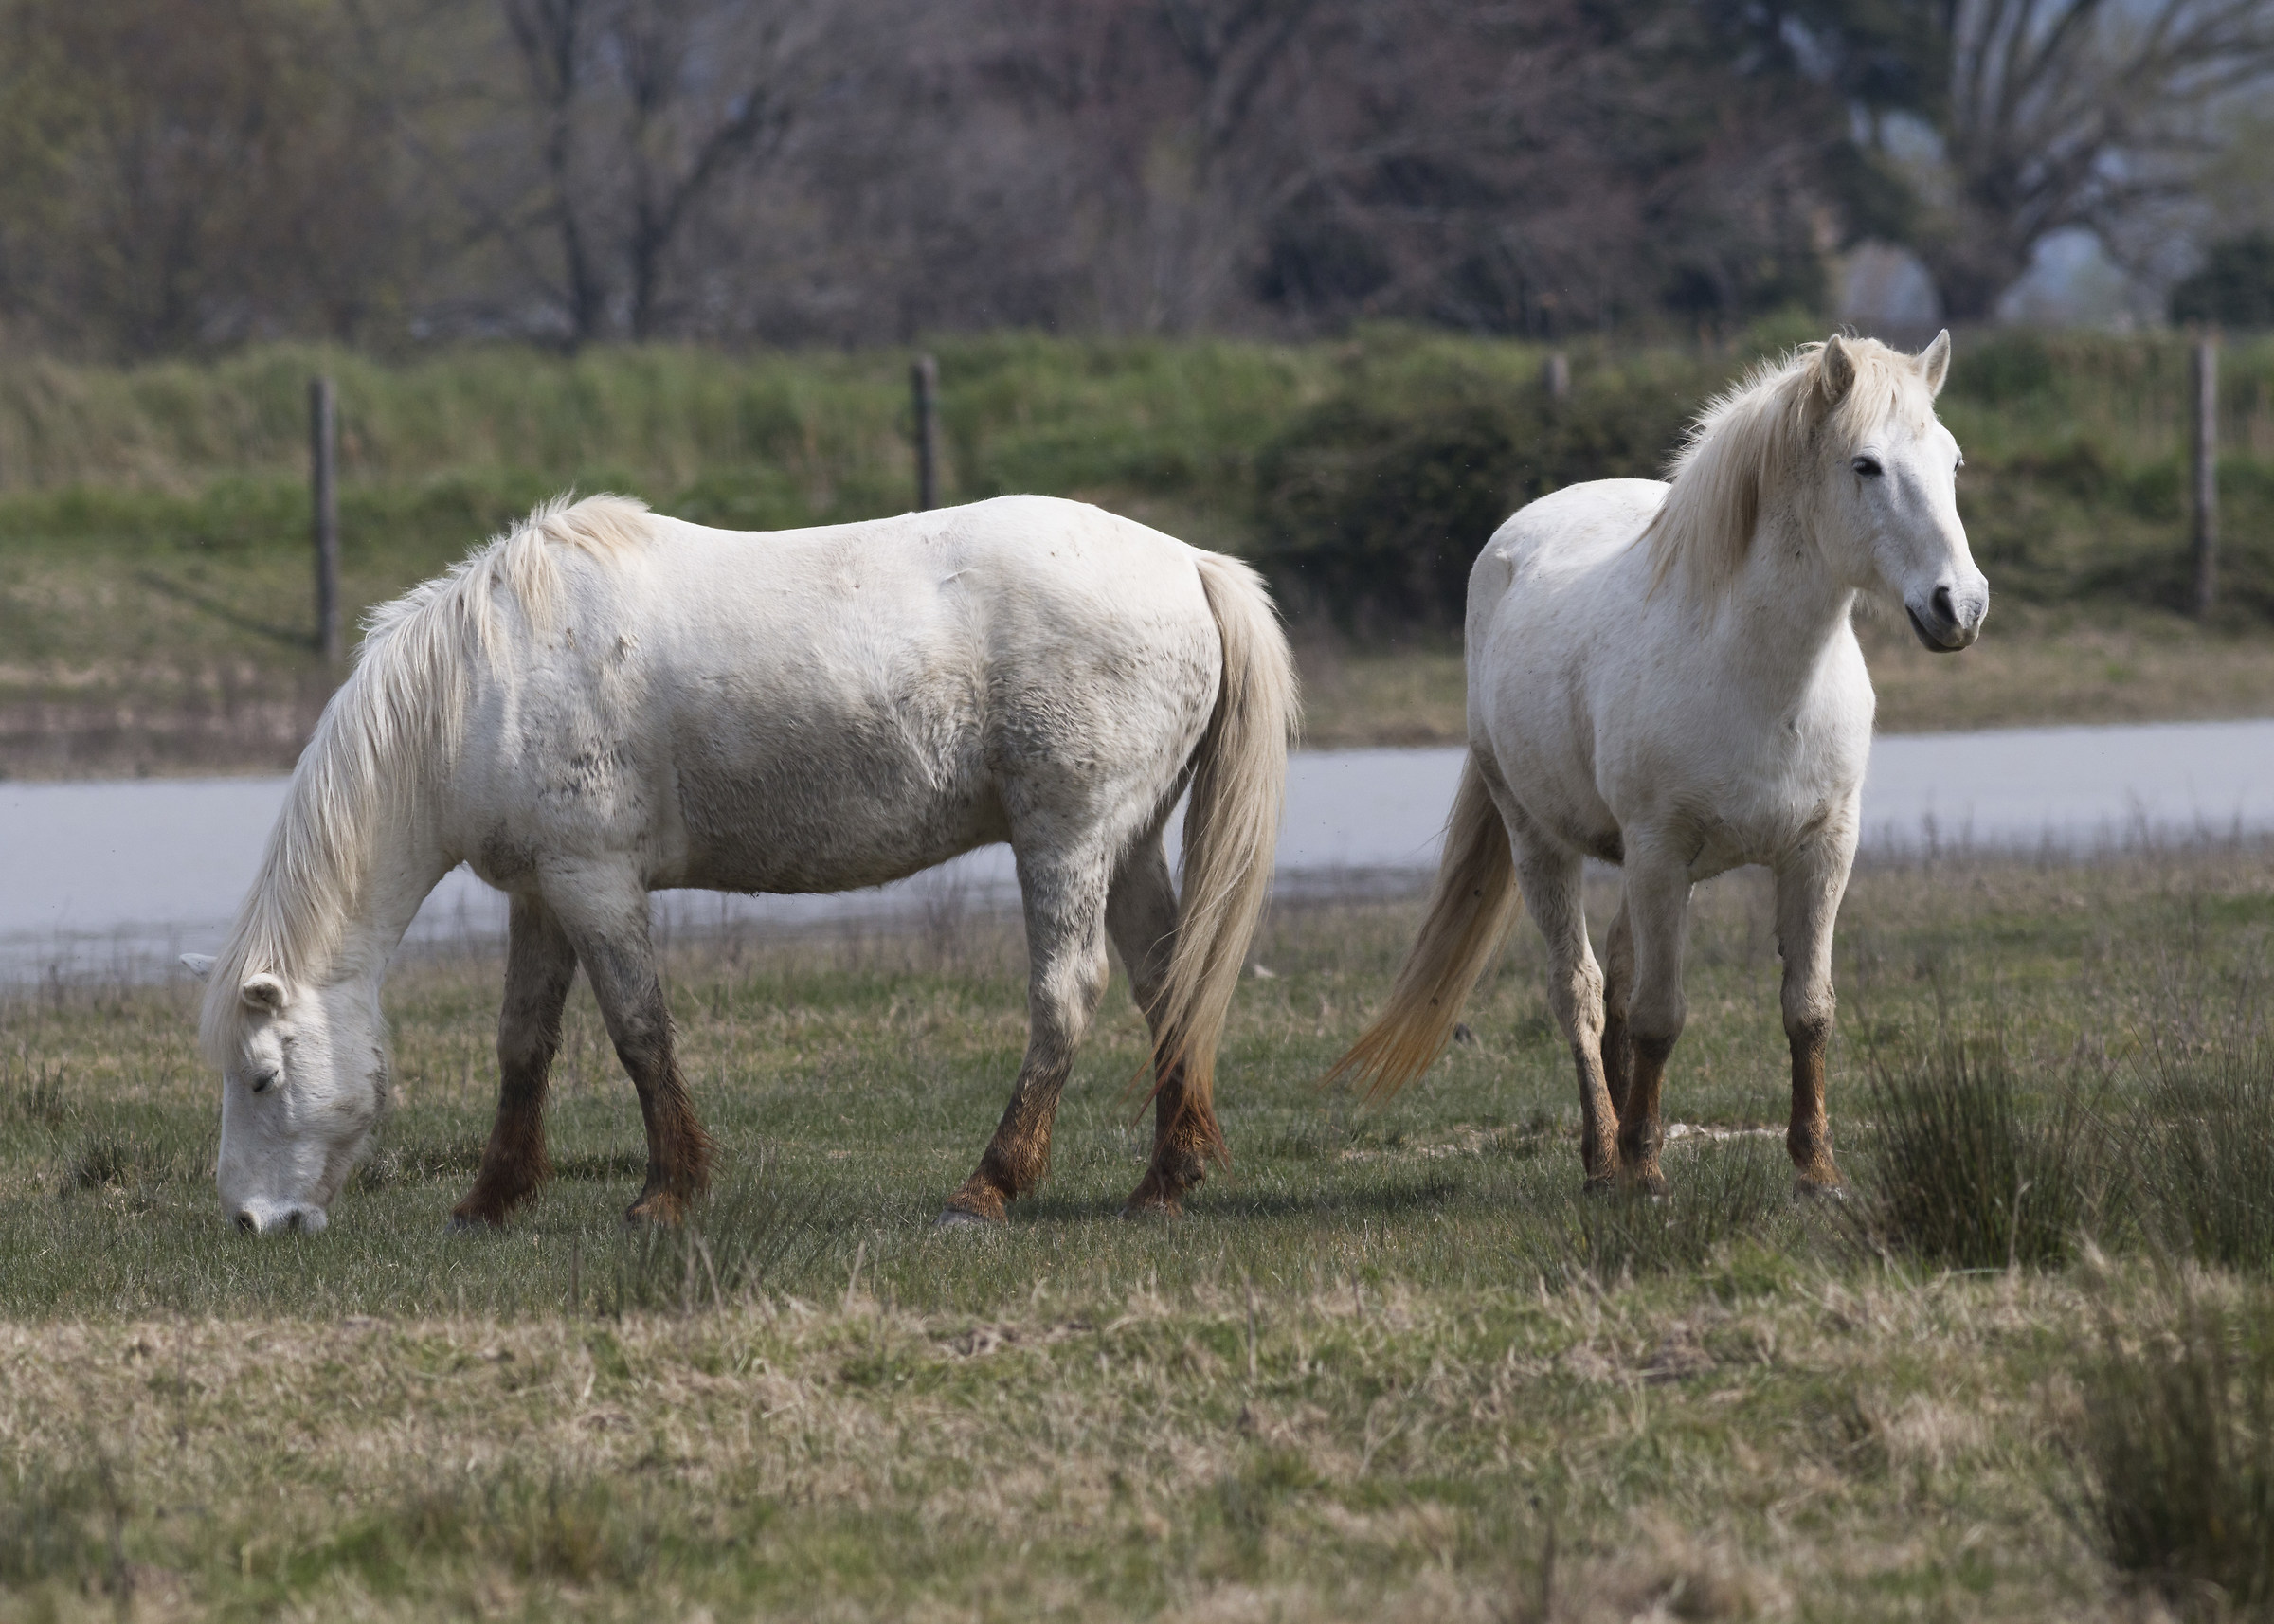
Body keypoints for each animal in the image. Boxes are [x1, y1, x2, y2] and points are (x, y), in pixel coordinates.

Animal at [181, 492, 1297, 1234]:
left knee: (1065, 996)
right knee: (1168, 986)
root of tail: (1187, 562)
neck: (486, 684)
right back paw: (1165, 1179)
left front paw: (667, 1191)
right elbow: (523, 1045)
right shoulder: (543, 893)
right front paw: (492, 1199)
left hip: (1067, 838)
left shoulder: (595, 883)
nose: (253, 1220)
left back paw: (990, 1185)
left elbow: (639, 1032)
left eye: (264, 1077)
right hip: (1128, 843)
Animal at [1327, 333, 1986, 1195]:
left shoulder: (1821, 849)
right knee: (1580, 991)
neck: (1760, 675)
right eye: (1866, 465)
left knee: (1618, 975)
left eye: (1952, 460)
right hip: (1542, 841)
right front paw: (1643, 1170)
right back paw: (1605, 1156)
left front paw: (1816, 1169)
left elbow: (1807, 1010)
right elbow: (1659, 1015)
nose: (1959, 606)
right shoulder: (1660, 852)